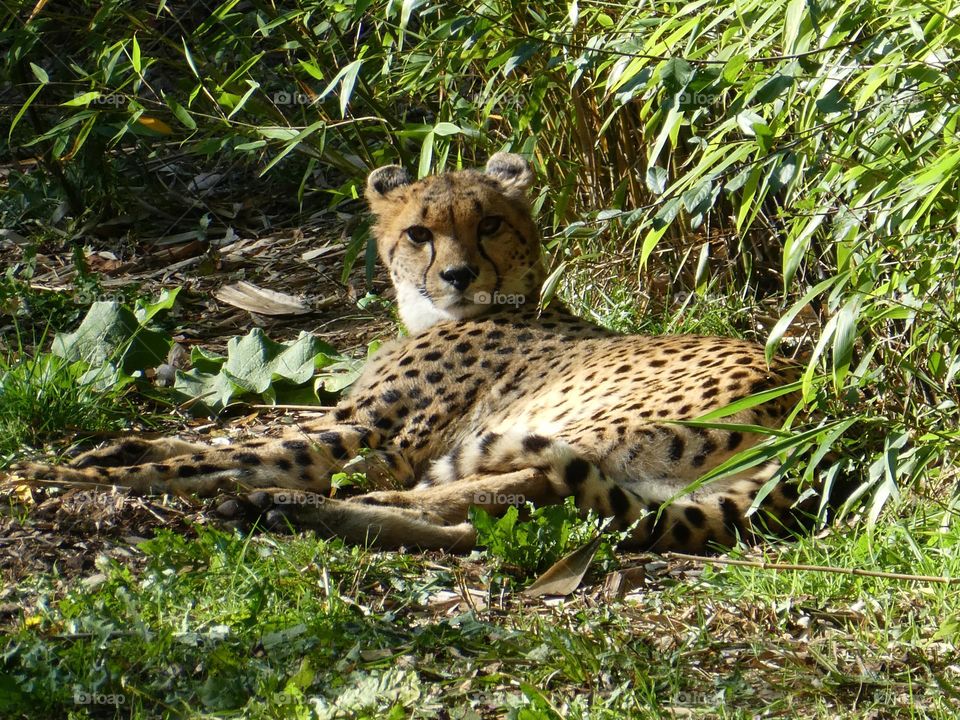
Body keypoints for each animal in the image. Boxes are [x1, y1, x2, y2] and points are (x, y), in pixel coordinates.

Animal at [5, 155, 816, 556]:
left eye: (490, 224)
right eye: (420, 232)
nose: (458, 274)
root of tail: (812, 423)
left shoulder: (370, 435)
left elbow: (216, 457)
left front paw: (53, 474)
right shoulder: (352, 424)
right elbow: (209, 441)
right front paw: (110, 448)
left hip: (567, 423)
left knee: (522, 485)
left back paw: (292, 505)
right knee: (511, 517)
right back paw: (309, 514)